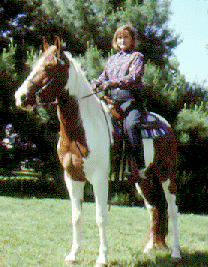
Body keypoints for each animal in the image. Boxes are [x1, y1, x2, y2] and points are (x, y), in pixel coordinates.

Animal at [14, 36, 180, 266]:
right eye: (34, 66)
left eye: (48, 67)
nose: (20, 97)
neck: (83, 127)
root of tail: (165, 125)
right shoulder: (72, 178)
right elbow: (76, 216)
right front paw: (73, 254)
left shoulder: (100, 179)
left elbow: (101, 217)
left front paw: (102, 257)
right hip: (143, 179)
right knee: (154, 208)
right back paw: (149, 248)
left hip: (167, 175)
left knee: (172, 210)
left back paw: (176, 252)